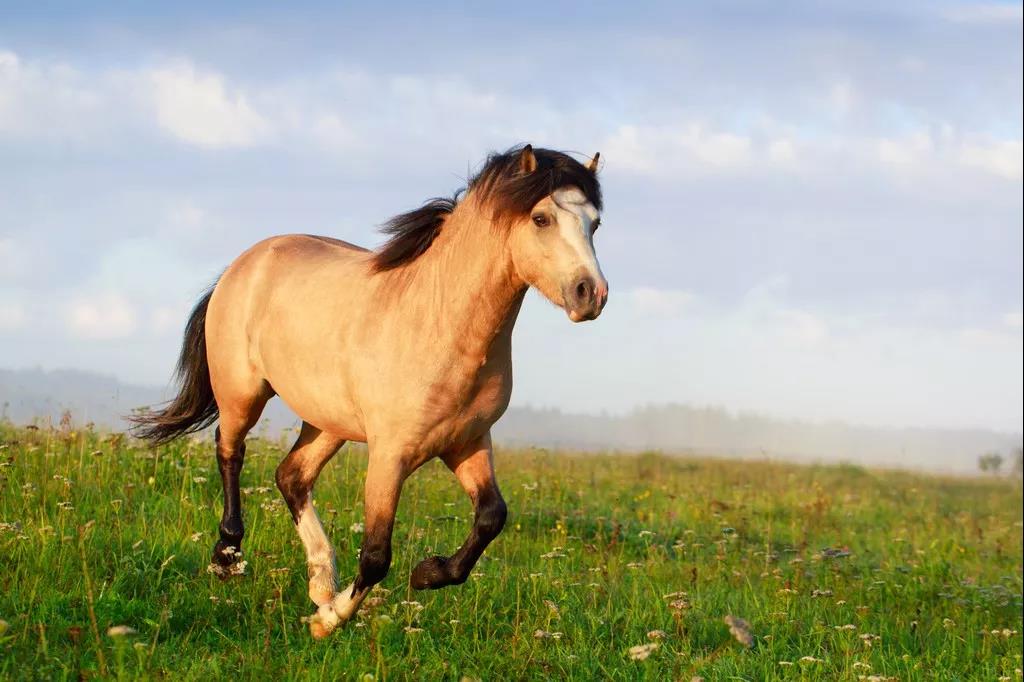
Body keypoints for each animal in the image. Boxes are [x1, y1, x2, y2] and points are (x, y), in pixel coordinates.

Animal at [128, 144, 606, 638]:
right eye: (541, 218)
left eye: (594, 223)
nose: (591, 294)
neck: (437, 323)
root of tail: (244, 264)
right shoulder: (390, 454)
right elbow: (377, 555)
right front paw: (329, 620)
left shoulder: (468, 442)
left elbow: (493, 516)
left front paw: (426, 574)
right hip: (242, 393)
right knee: (230, 451)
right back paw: (229, 557)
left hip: (327, 421)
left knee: (292, 476)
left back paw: (320, 579)